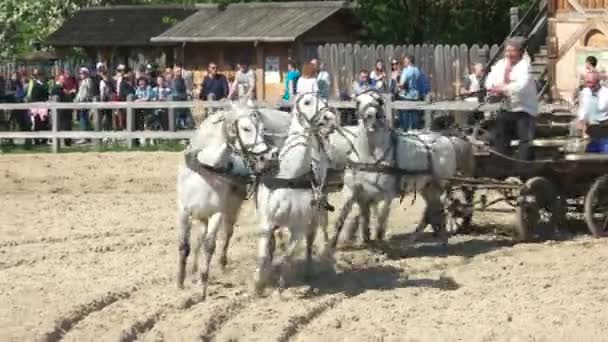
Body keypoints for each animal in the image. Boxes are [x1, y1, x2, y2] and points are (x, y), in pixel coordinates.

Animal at [176, 105, 276, 300]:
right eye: (246, 128)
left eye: (262, 129)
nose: (266, 158)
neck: (206, 171)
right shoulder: (184, 211)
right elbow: (184, 246)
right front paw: (180, 283)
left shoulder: (217, 213)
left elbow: (210, 245)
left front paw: (203, 288)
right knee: (198, 239)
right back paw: (193, 271)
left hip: (230, 211)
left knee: (226, 234)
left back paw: (221, 265)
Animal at [252, 93, 338, 294]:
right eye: (307, 102)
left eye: (324, 101)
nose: (329, 119)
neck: (290, 175)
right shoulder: (267, 221)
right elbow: (264, 252)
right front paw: (259, 284)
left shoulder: (298, 226)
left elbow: (288, 255)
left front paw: (281, 284)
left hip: (318, 212)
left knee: (314, 237)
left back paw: (314, 266)